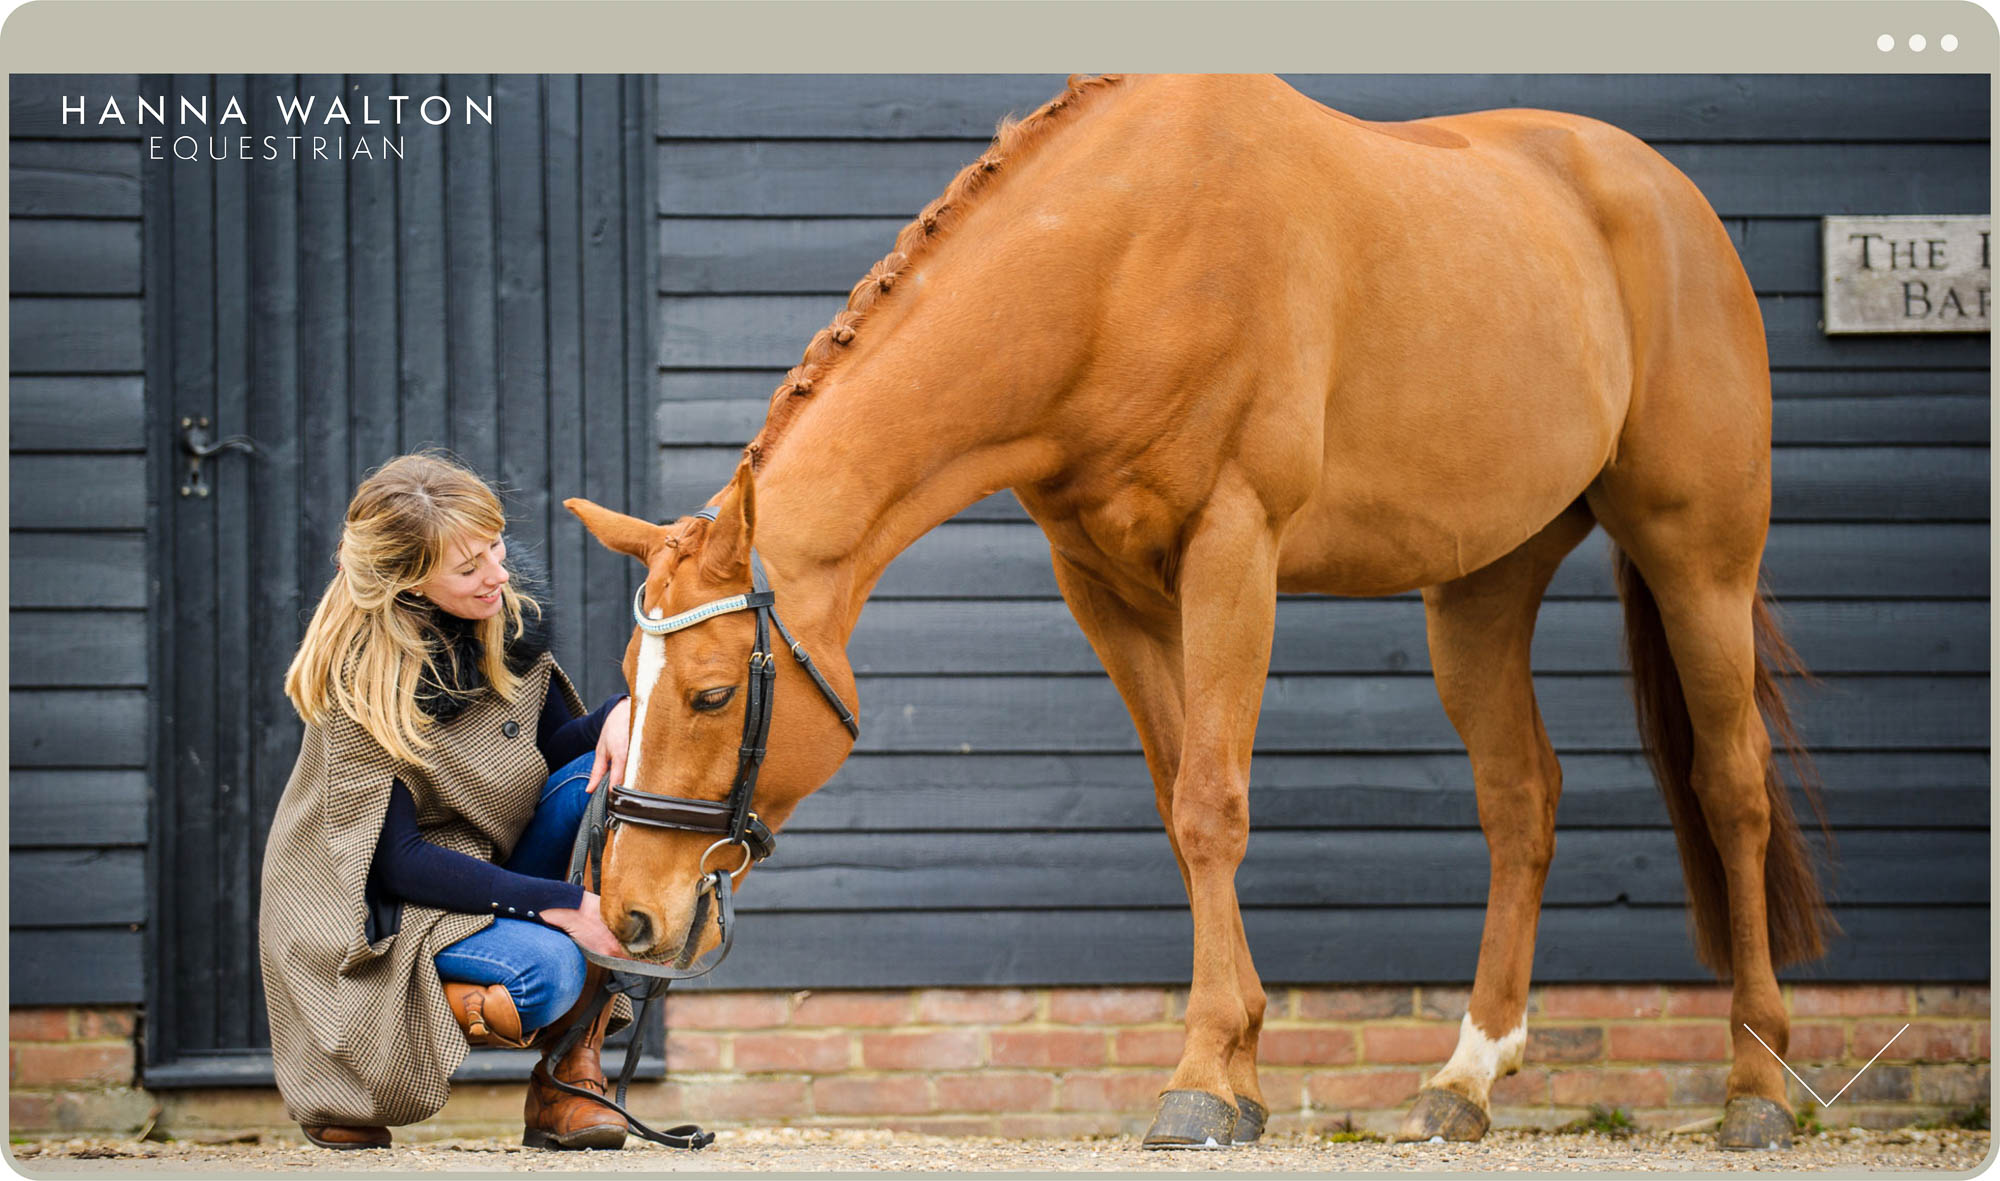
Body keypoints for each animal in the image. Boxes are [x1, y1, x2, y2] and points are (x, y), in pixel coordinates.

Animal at [564, 71, 1832, 1144]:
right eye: (626, 683)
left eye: (710, 693)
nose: (628, 913)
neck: (1120, 261)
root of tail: (1668, 196)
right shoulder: (1104, 584)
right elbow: (1178, 807)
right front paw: (1237, 1072)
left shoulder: (1233, 550)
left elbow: (1213, 802)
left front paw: (1197, 1086)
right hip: (1482, 581)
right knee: (1521, 795)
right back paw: (1463, 1081)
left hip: (1697, 557)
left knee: (1730, 787)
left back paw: (1756, 1083)